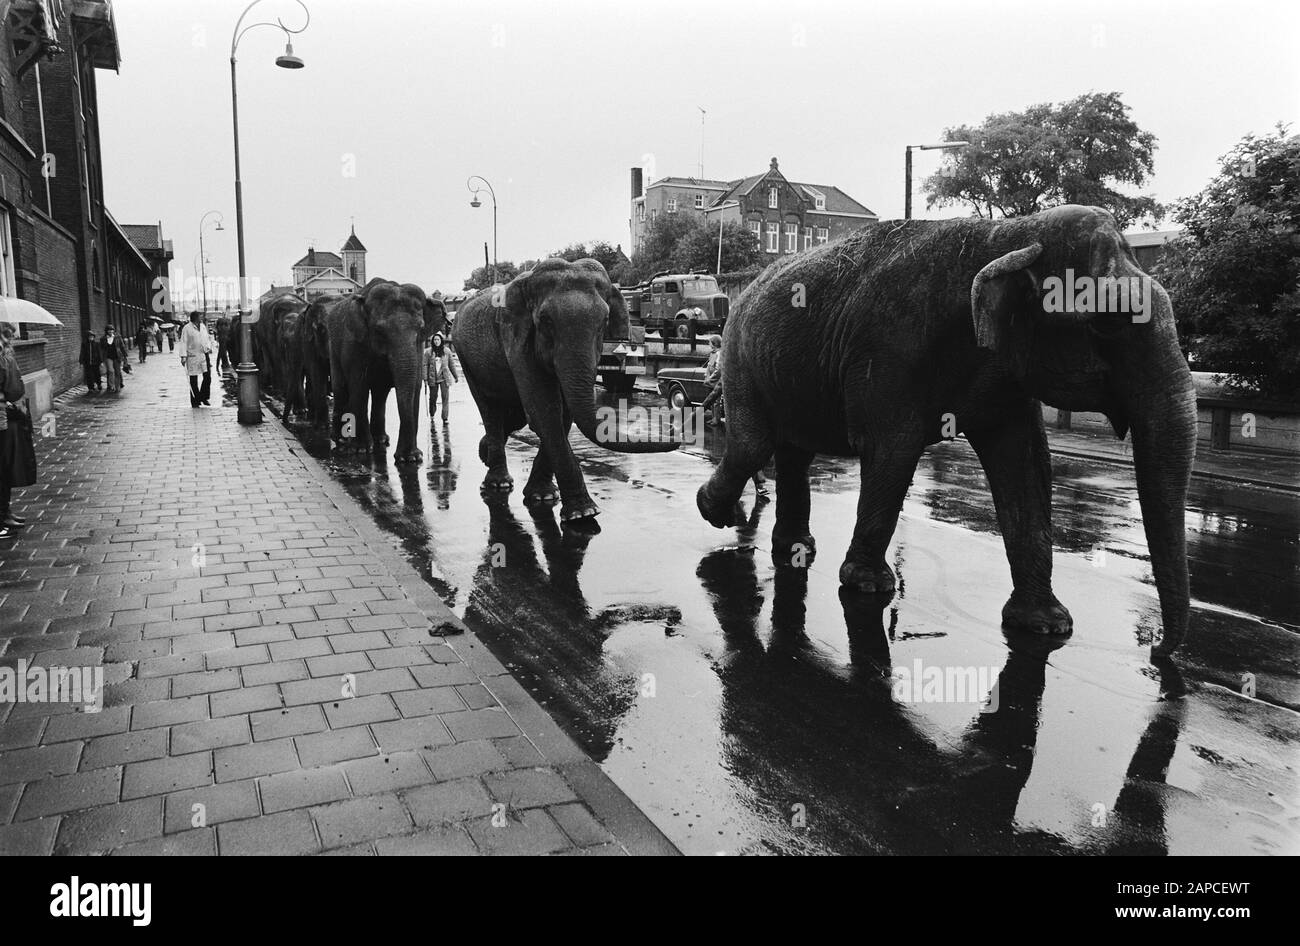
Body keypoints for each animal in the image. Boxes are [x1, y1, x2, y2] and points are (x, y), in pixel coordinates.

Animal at [325, 275, 447, 462]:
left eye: (420, 328)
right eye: (379, 330)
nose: (404, 456)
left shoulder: (418, 349)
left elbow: (415, 386)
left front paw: (411, 458)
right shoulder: (355, 344)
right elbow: (359, 386)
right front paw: (361, 450)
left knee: (380, 394)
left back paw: (381, 439)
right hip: (333, 348)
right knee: (341, 388)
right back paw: (341, 440)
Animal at [454, 258, 681, 524]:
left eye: (604, 321)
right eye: (545, 320)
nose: (673, 432)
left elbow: (561, 414)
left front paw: (544, 496)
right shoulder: (517, 340)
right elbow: (545, 410)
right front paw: (583, 513)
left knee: (515, 415)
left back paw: (485, 451)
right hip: (464, 356)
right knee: (490, 409)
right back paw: (498, 483)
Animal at [702, 202, 1196, 654]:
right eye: (1109, 323)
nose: (1155, 649)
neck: (1012, 234)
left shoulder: (1006, 374)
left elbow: (1025, 464)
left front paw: (1046, 625)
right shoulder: (889, 352)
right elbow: (893, 451)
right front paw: (868, 585)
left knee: (792, 451)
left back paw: (795, 548)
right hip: (741, 359)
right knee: (754, 444)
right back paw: (716, 511)